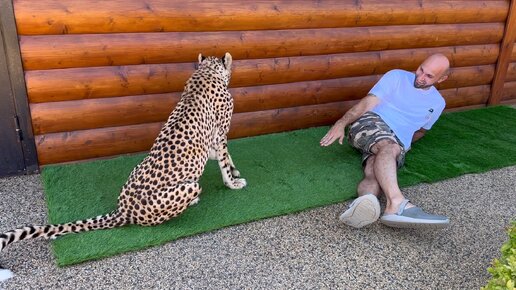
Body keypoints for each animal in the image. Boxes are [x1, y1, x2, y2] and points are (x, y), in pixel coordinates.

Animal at [0, 51, 246, 260]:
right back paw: (192, 201)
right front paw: (233, 182)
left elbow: (223, 156)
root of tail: (125, 209)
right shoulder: (219, 135)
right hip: (187, 187)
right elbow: (224, 159)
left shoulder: (211, 142)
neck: (206, 72)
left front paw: (235, 170)